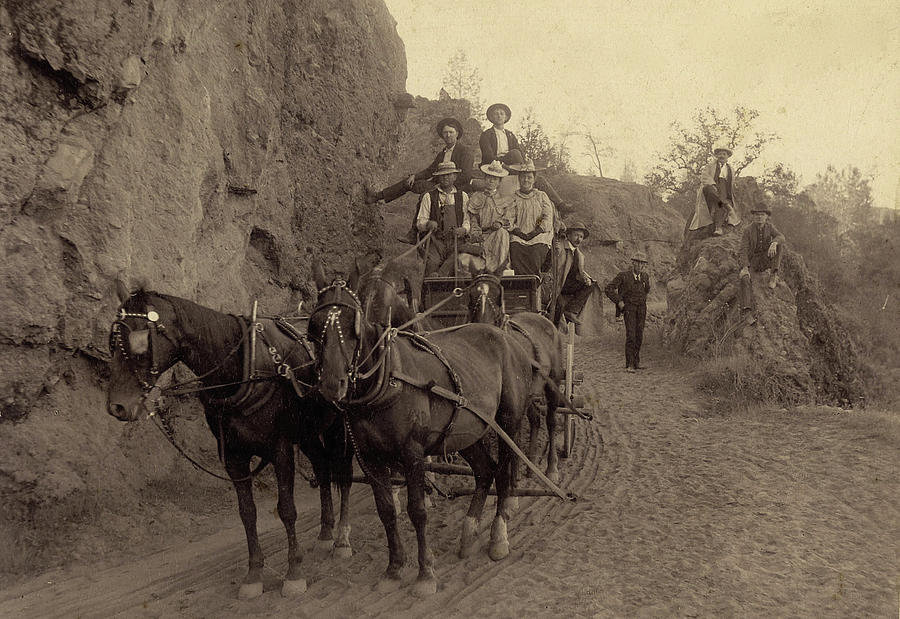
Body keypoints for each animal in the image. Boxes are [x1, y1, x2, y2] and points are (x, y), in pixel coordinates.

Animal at [107, 284, 354, 600]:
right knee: (323, 468)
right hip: (308, 434)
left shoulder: (281, 450)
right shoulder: (235, 458)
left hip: (338, 426)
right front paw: (254, 574)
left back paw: (342, 541)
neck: (244, 369)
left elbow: (287, 509)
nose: (117, 406)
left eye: (140, 343)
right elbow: (247, 513)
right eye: (113, 342)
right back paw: (325, 534)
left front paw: (294, 573)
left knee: (343, 474)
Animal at [310, 268, 536, 600]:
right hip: (467, 430)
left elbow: (417, 511)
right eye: (314, 327)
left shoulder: (412, 453)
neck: (387, 378)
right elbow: (386, 510)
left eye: (353, 326)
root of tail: (506, 337)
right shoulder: (370, 457)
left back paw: (498, 536)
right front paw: (393, 569)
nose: (331, 384)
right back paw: (469, 532)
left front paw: (425, 574)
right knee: (485, 471)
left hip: (508, 422)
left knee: (506, 473)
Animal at [468, 274, 568, 484]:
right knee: (535, 418)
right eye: (471, 295)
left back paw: (551, 468)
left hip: (553, 383)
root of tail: (541, 318)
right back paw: (531, 465)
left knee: (551, 420)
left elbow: (513, 441)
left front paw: (512, 480)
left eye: (498, 297)